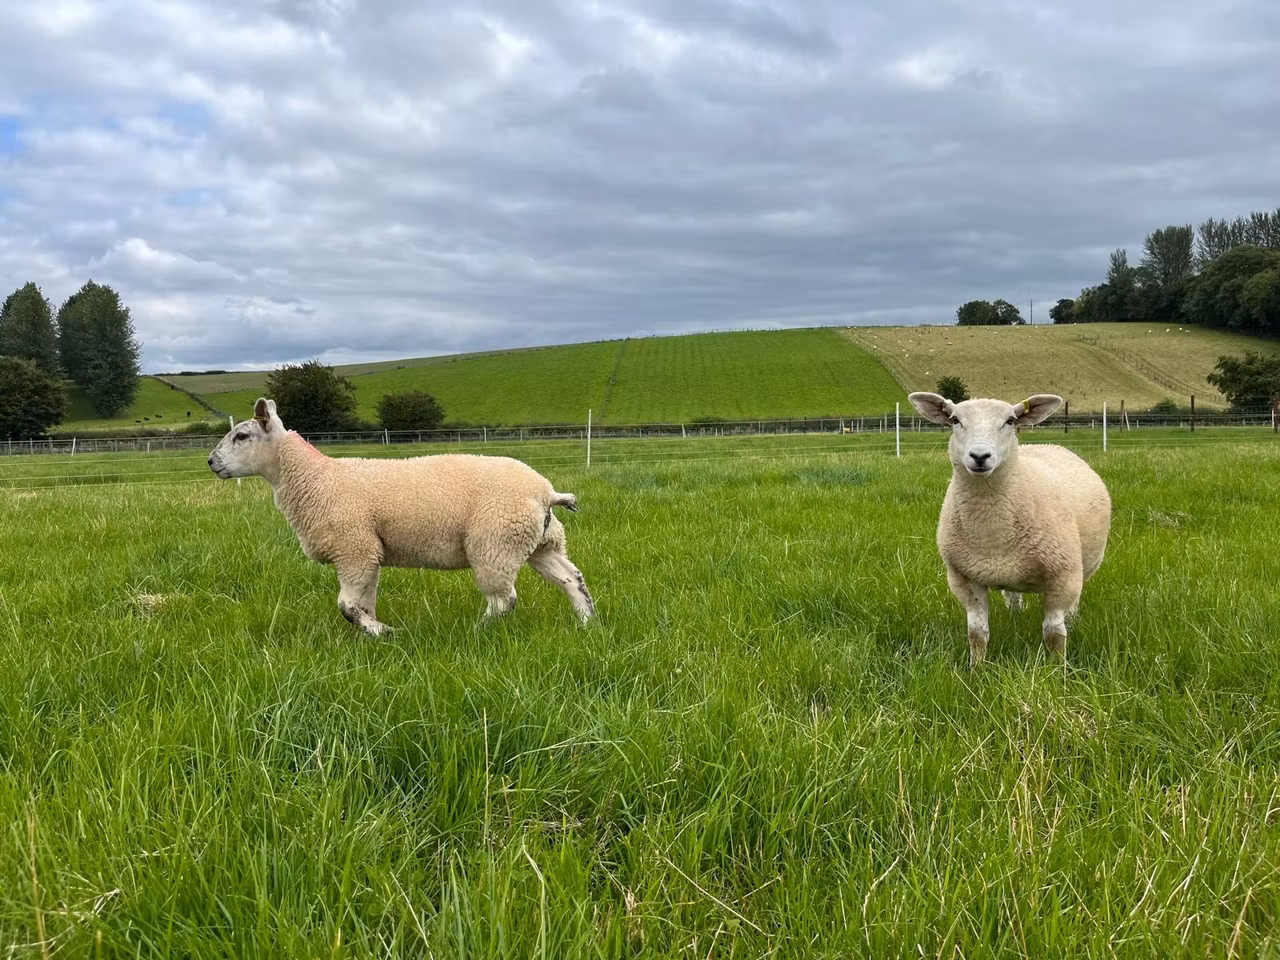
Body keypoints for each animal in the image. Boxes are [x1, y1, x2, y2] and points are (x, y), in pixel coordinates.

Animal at [208, 398, 595, 635]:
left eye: (242, 435)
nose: (211, 462)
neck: (316, 479)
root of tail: (545, 492)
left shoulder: (355, 549)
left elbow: (346, 605)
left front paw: (383, 633)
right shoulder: (367, 554)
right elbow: (364, 602)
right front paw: (369, 635)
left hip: (495, 543)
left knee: (503, 600)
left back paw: (475, 631)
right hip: (541, 542)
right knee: (571, 579)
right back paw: (587, 623)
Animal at [907, 392, 1111, 665]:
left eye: (1011, 420)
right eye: (954, 420)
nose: (979, 456)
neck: (991, 535)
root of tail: (1050, 446)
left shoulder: (1063, 574)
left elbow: (1054, 634)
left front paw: (1057, 670)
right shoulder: (964, 578)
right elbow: (977, 633)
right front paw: (976, 669)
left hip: (1083, 567)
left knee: (1074, 602)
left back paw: (1074, 620)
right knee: (1013, 597)